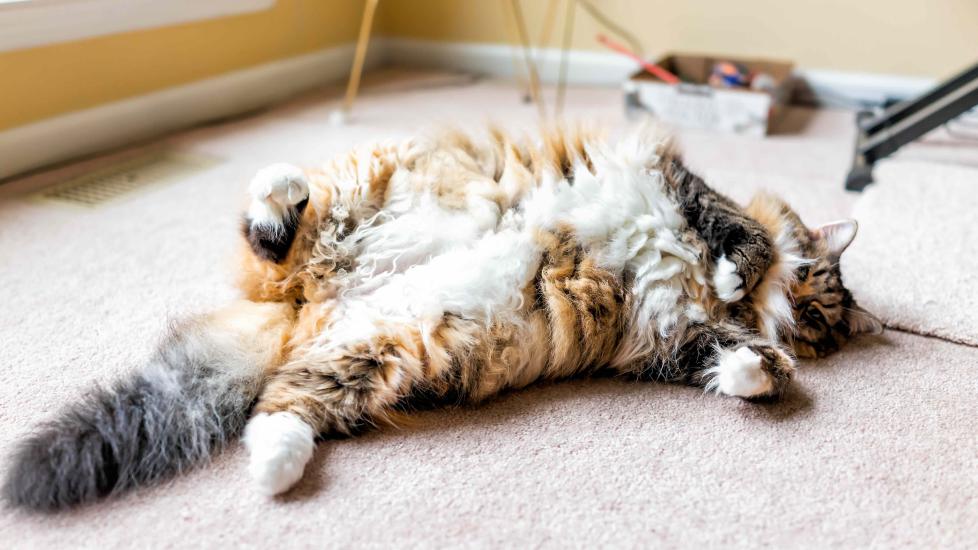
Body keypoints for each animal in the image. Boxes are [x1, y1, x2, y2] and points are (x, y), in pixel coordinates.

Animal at [3, 126, 880, 512]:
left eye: (816, 325)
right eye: (811, 288)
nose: (796, 322)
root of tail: (308, 308)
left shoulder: (662, 340)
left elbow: (732, 363)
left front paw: (763, 365)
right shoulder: (683, 187)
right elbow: (739, 230)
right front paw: (740, 269)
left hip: (388, 346)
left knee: (280, 402)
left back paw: (275, 470)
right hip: (363, 201)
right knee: (272, 234)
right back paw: (280, 182)